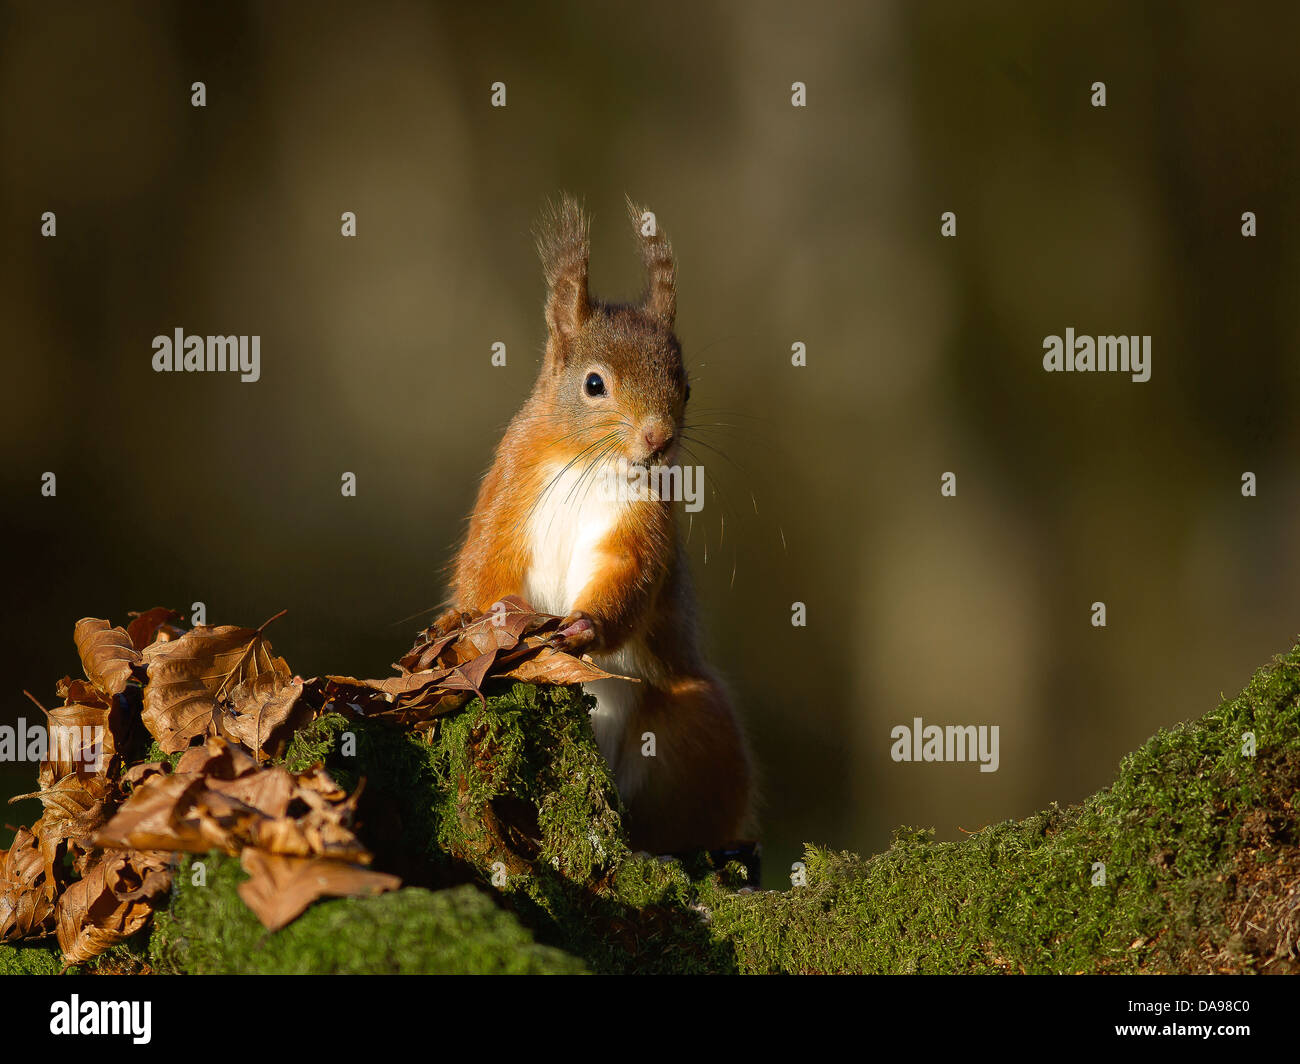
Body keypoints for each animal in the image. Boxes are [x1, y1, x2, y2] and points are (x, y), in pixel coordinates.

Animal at [439, 195, 754, 848]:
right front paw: (502, 613)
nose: (658, 440)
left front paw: (583, 626)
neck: (590, 463)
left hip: (692, 721)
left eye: (687, 387)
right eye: (593, 384)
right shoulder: (507, 493)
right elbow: (484, 564)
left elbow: (629, 575)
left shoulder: (642, 524)